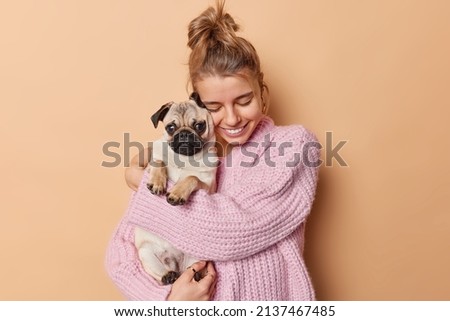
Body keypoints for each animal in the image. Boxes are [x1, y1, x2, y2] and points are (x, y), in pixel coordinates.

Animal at [134, 93, 218, 284]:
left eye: (199, 125)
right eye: (171, 128)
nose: (184, 134)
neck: (185, 159)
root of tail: (175, 263)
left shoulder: (208, 186)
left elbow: (192, 177)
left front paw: (177, 193)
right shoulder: (152, 163)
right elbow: (158, 162)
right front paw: (157, 183)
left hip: (197, 256)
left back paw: (194, 274)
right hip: (146, 252)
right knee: (160, 274)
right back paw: (168, 275)